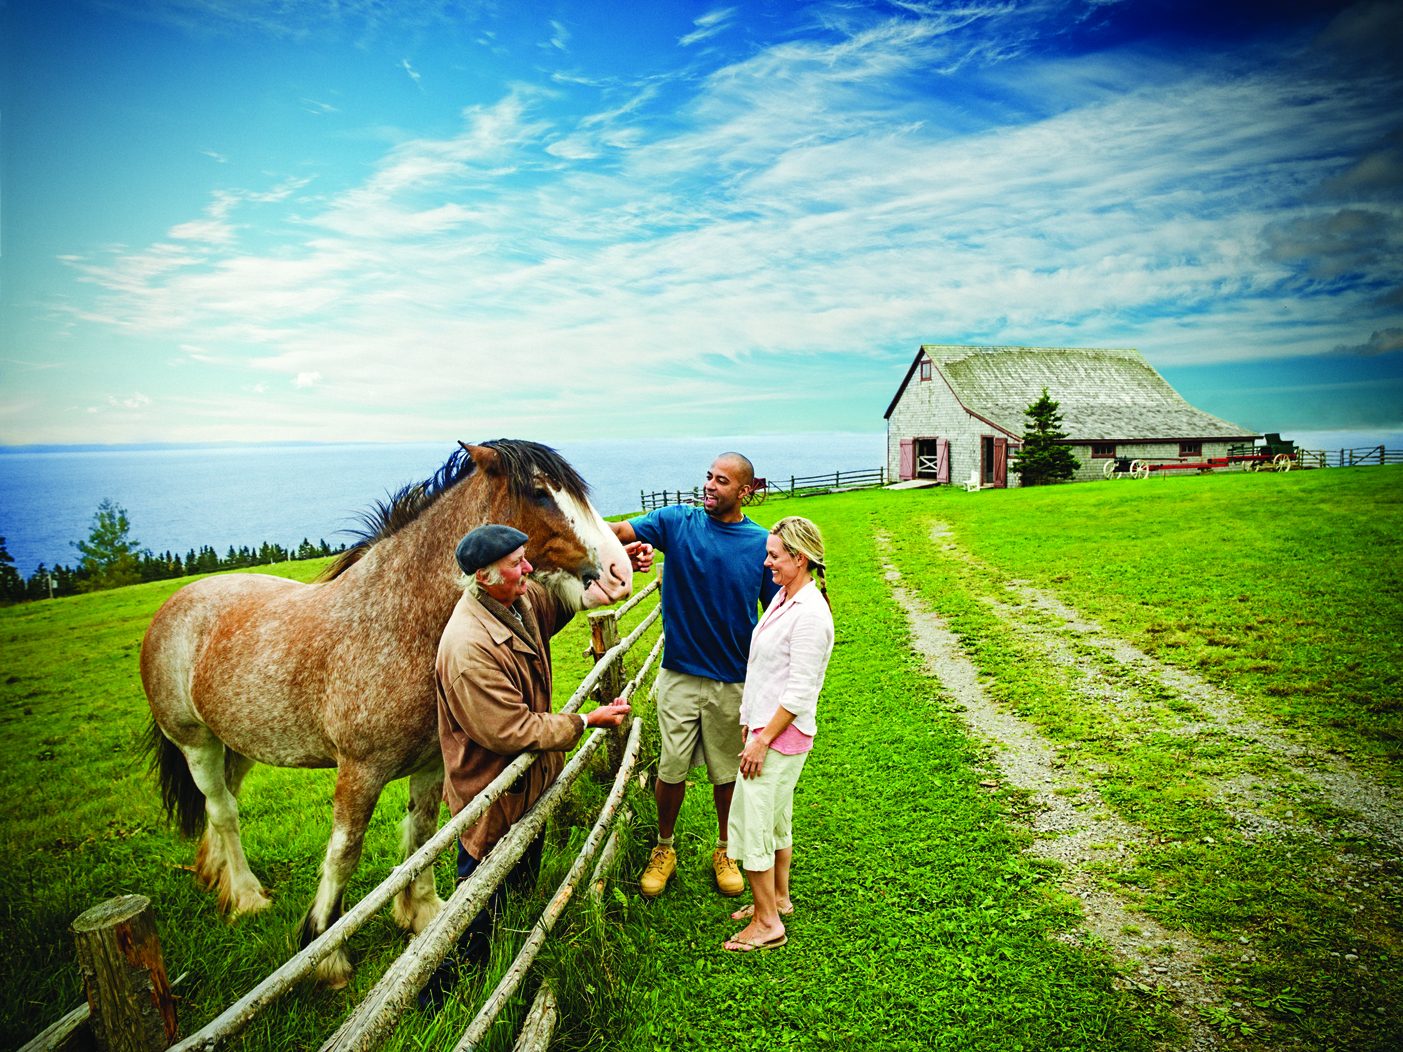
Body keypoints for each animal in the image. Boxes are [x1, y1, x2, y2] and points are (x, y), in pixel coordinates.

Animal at [139, 437, 634, 987]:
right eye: (541, 493)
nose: (621, 571)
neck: (399, 622)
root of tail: (176, 603)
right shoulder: (360, 771)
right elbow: (344, 854)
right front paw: (326, 950)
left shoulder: (432, 763)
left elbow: (423, 836)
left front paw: (423, 915)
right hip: (196, 742)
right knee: (223, 811)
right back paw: (247, 896)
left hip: (239, 744)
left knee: (222, 803)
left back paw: (218, 876)